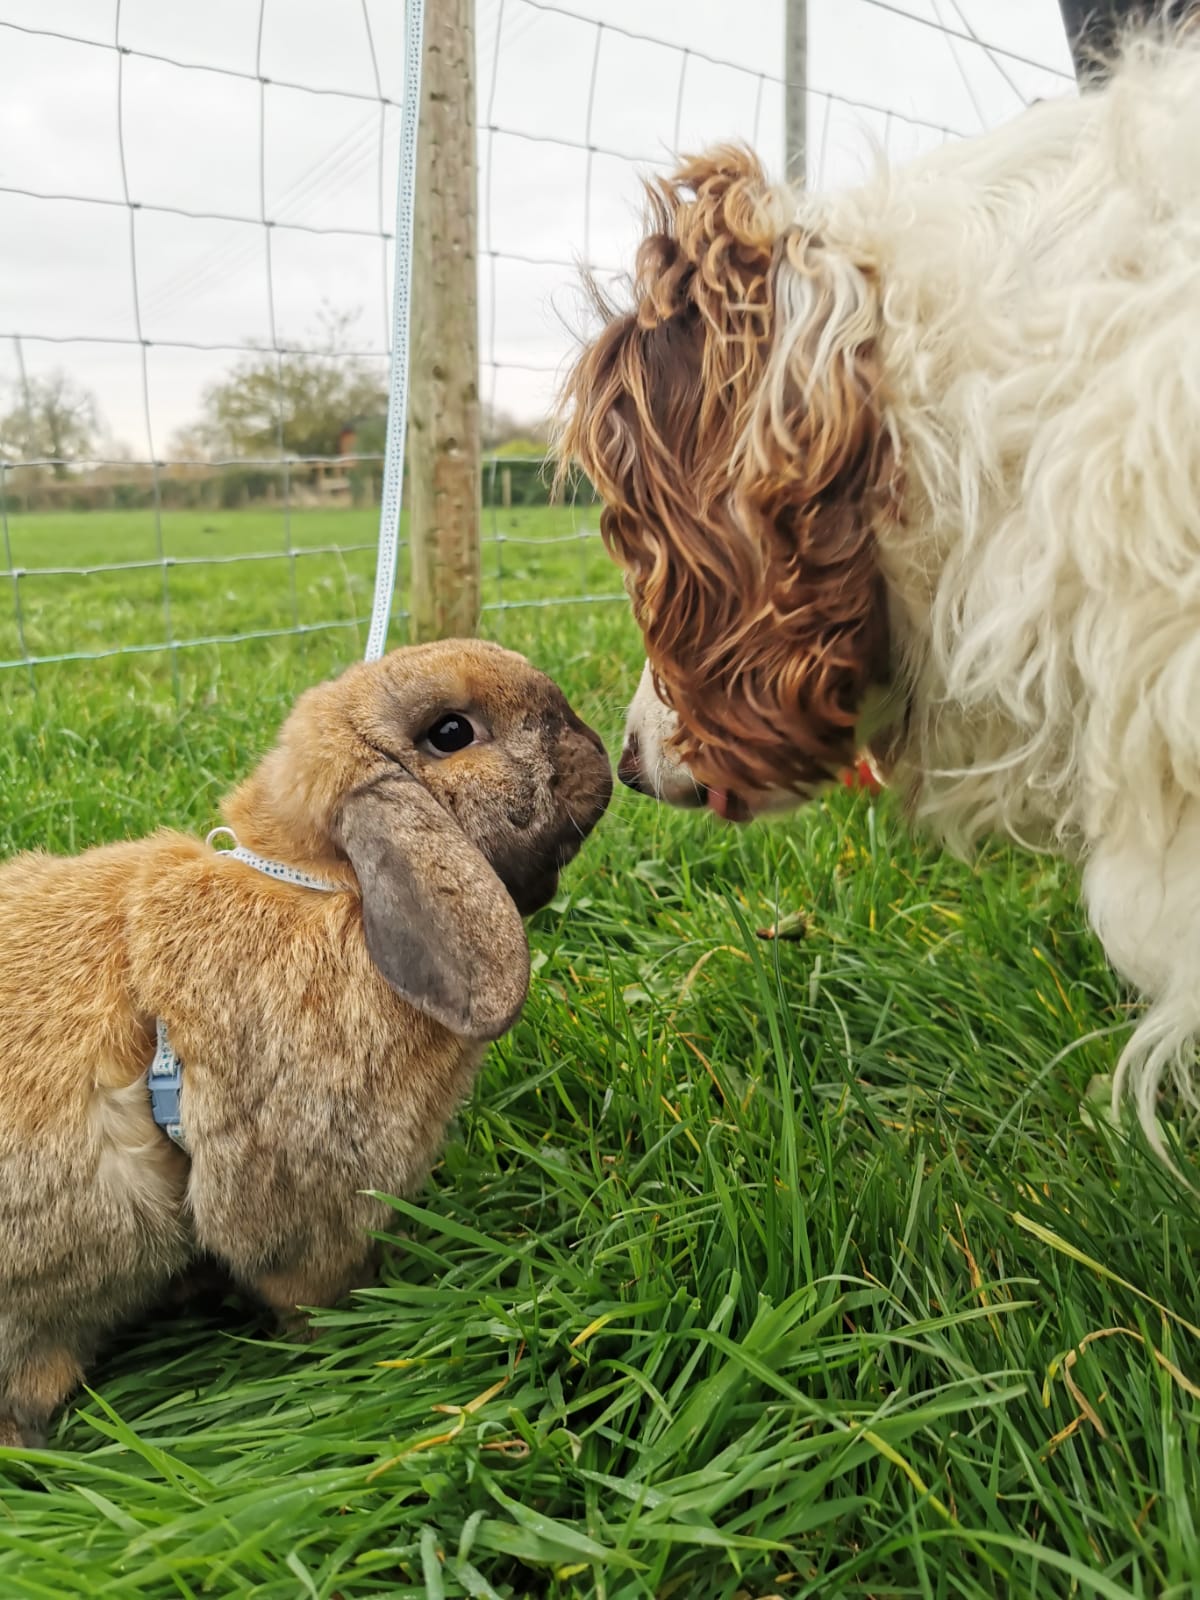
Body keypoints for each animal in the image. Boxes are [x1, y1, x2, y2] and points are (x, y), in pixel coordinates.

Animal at [0, 640, 604, 1452]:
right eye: (451, 733)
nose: (594, 750)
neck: (328, 885)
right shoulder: (308, 1202)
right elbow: (304, 1286)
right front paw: (347, 1335)